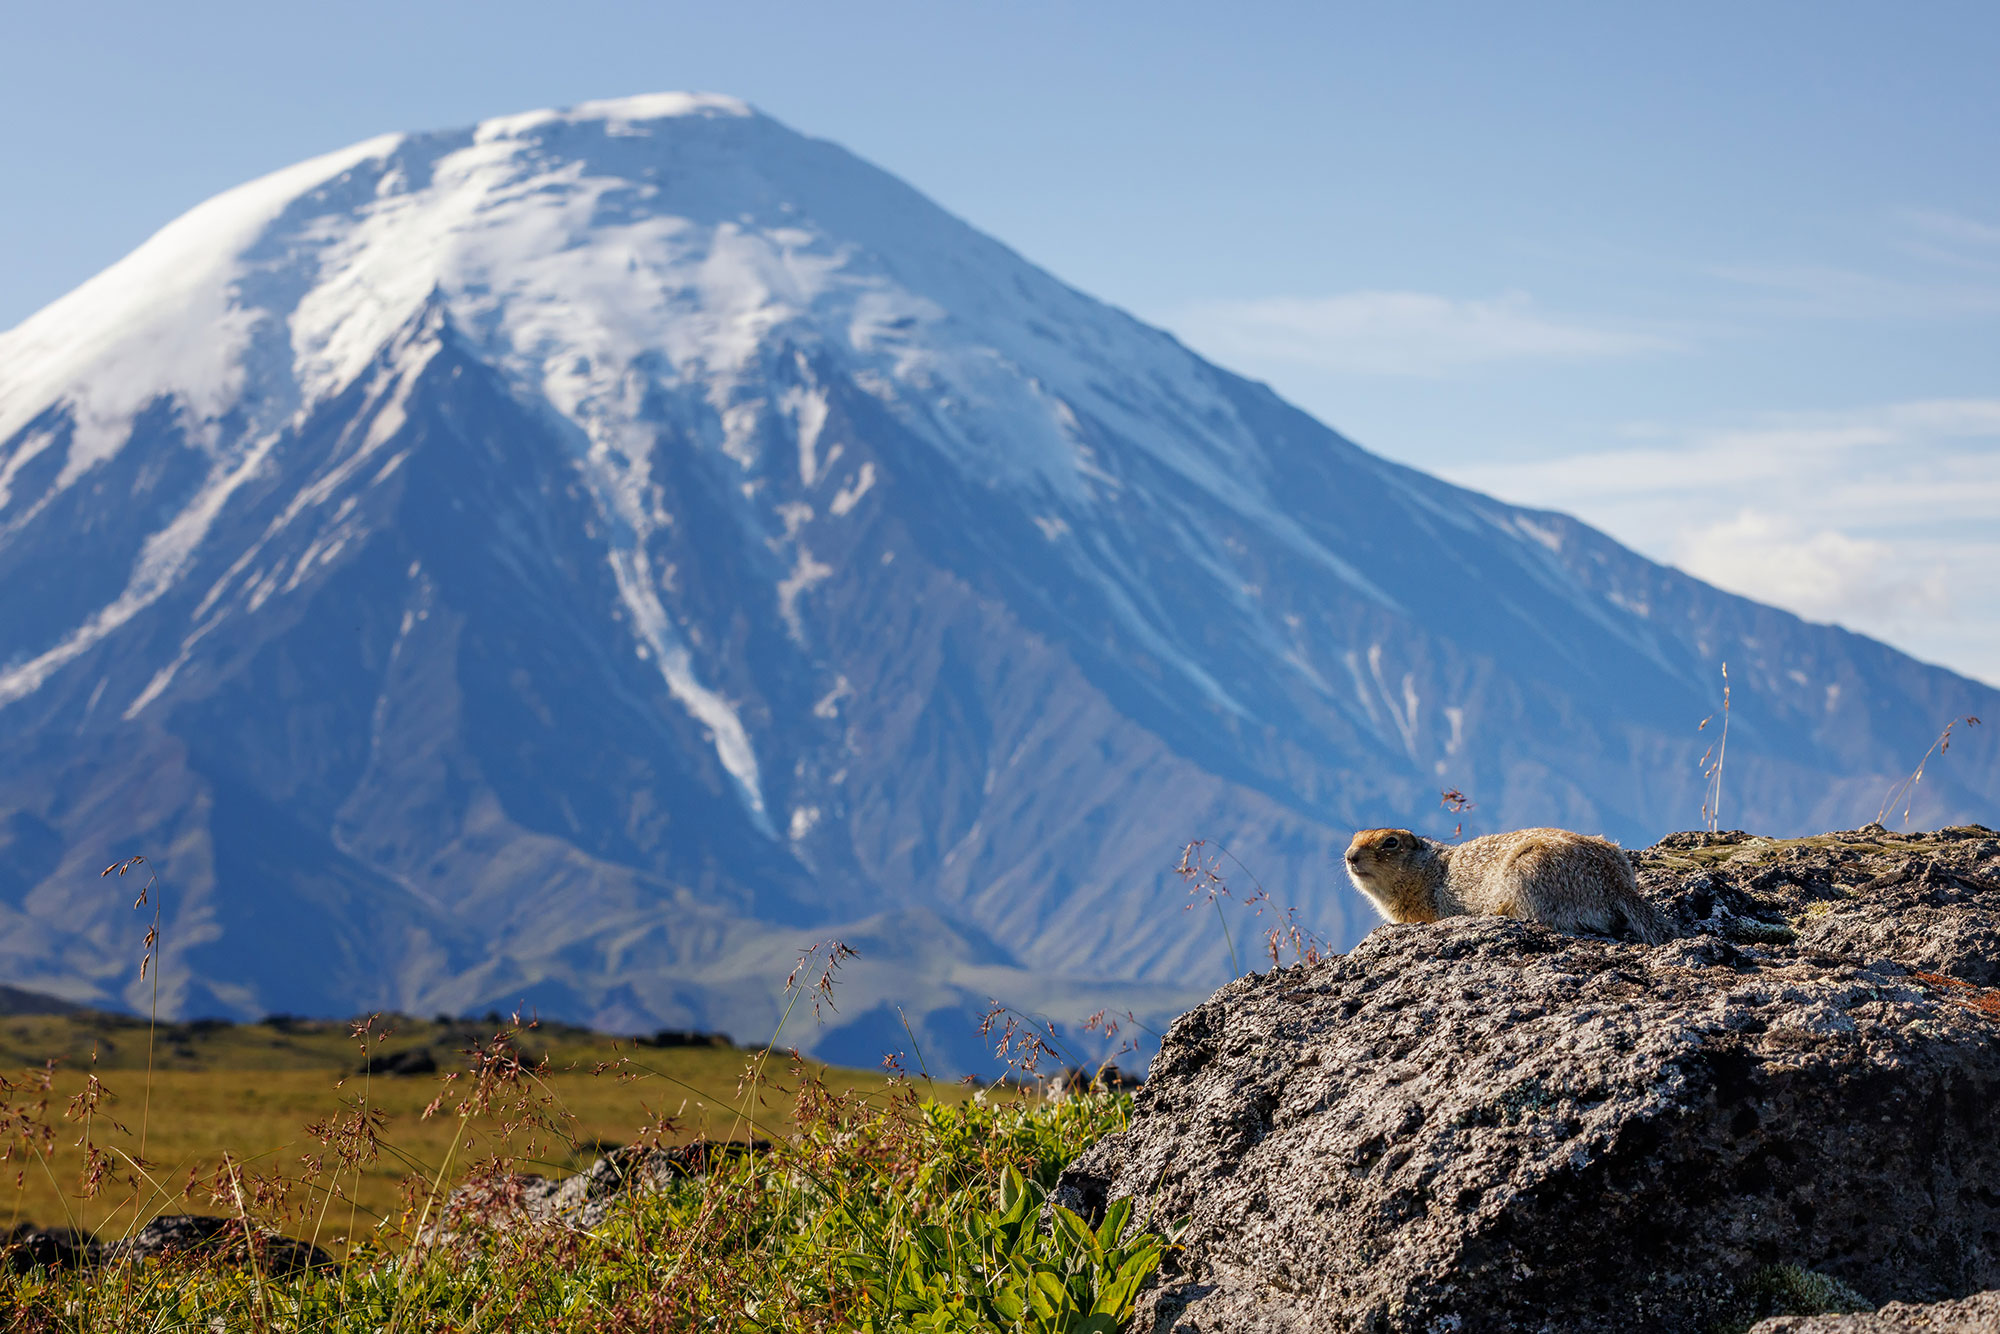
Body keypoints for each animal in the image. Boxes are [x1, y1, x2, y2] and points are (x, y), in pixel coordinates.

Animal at [1344, 828, 1672, 944]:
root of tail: (1617, 884)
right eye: (1354, 837)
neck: (1427, 870)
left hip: (1530, 871)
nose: (1349, 856)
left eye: (1391, 842)